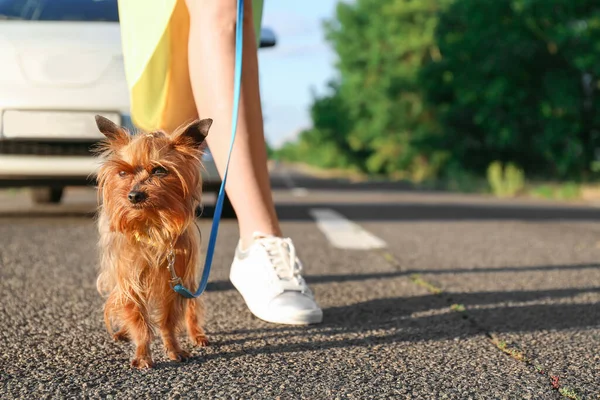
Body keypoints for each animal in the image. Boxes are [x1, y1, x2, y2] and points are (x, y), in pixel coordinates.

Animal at [94, 115, 213, 368]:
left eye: (159, 170)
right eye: (123, 173)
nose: (133, 195)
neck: (152, 226)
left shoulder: (175, 281)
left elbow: (168, 320)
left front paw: (174, 348)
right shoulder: (130, 280)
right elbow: (137, 318)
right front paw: (142, 353)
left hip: (189, 281)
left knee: (192, 308)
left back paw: (197, 334)